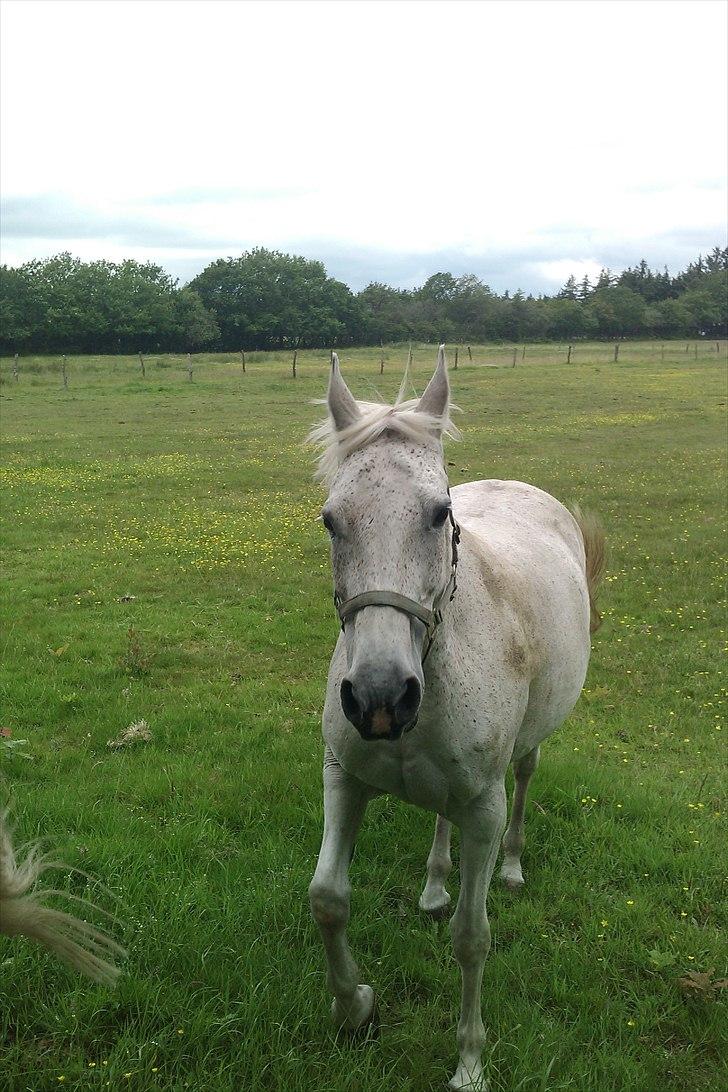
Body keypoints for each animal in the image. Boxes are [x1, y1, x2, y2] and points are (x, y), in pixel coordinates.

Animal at [307, 349, 602, 1092]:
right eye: (330, 519)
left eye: (439, 514)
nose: (380, 697)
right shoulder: (342, 777)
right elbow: (328, 898)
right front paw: (354, 1006)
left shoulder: (484, 808)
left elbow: (472, 938)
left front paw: (470, 1061)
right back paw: (435, 883)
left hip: (525, 756)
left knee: (526, 780)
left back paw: (515, 868)